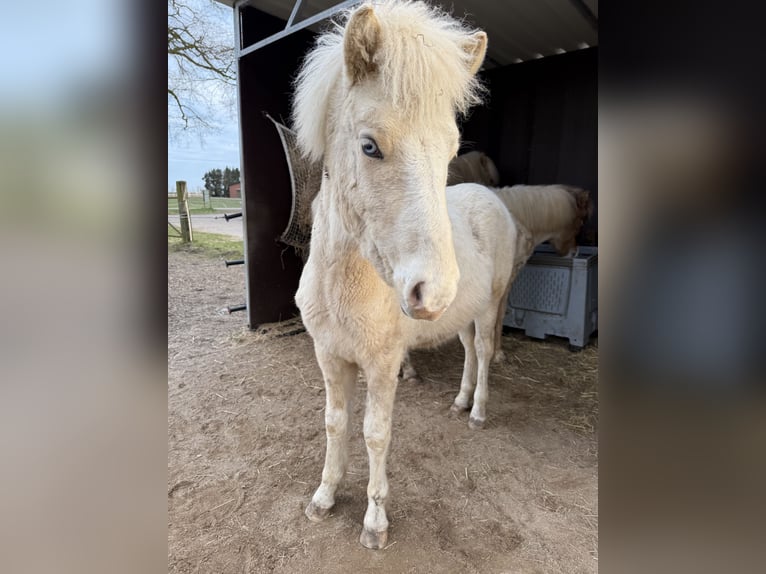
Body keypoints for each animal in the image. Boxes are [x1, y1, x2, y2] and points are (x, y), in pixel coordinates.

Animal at [292, 0, 520, 552]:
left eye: (451, 150)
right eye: (370, 146)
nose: (432, 292)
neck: (343, 287)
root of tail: (492, 200)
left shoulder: (381, 364)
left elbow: (375, 433)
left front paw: (375, 522)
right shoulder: (329, 355)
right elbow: (334, 423)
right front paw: (323, 497)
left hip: (488, 308)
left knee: (484, 352)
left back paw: (478, 412)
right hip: (462, 314)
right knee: (467, 351)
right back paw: (459, 401)